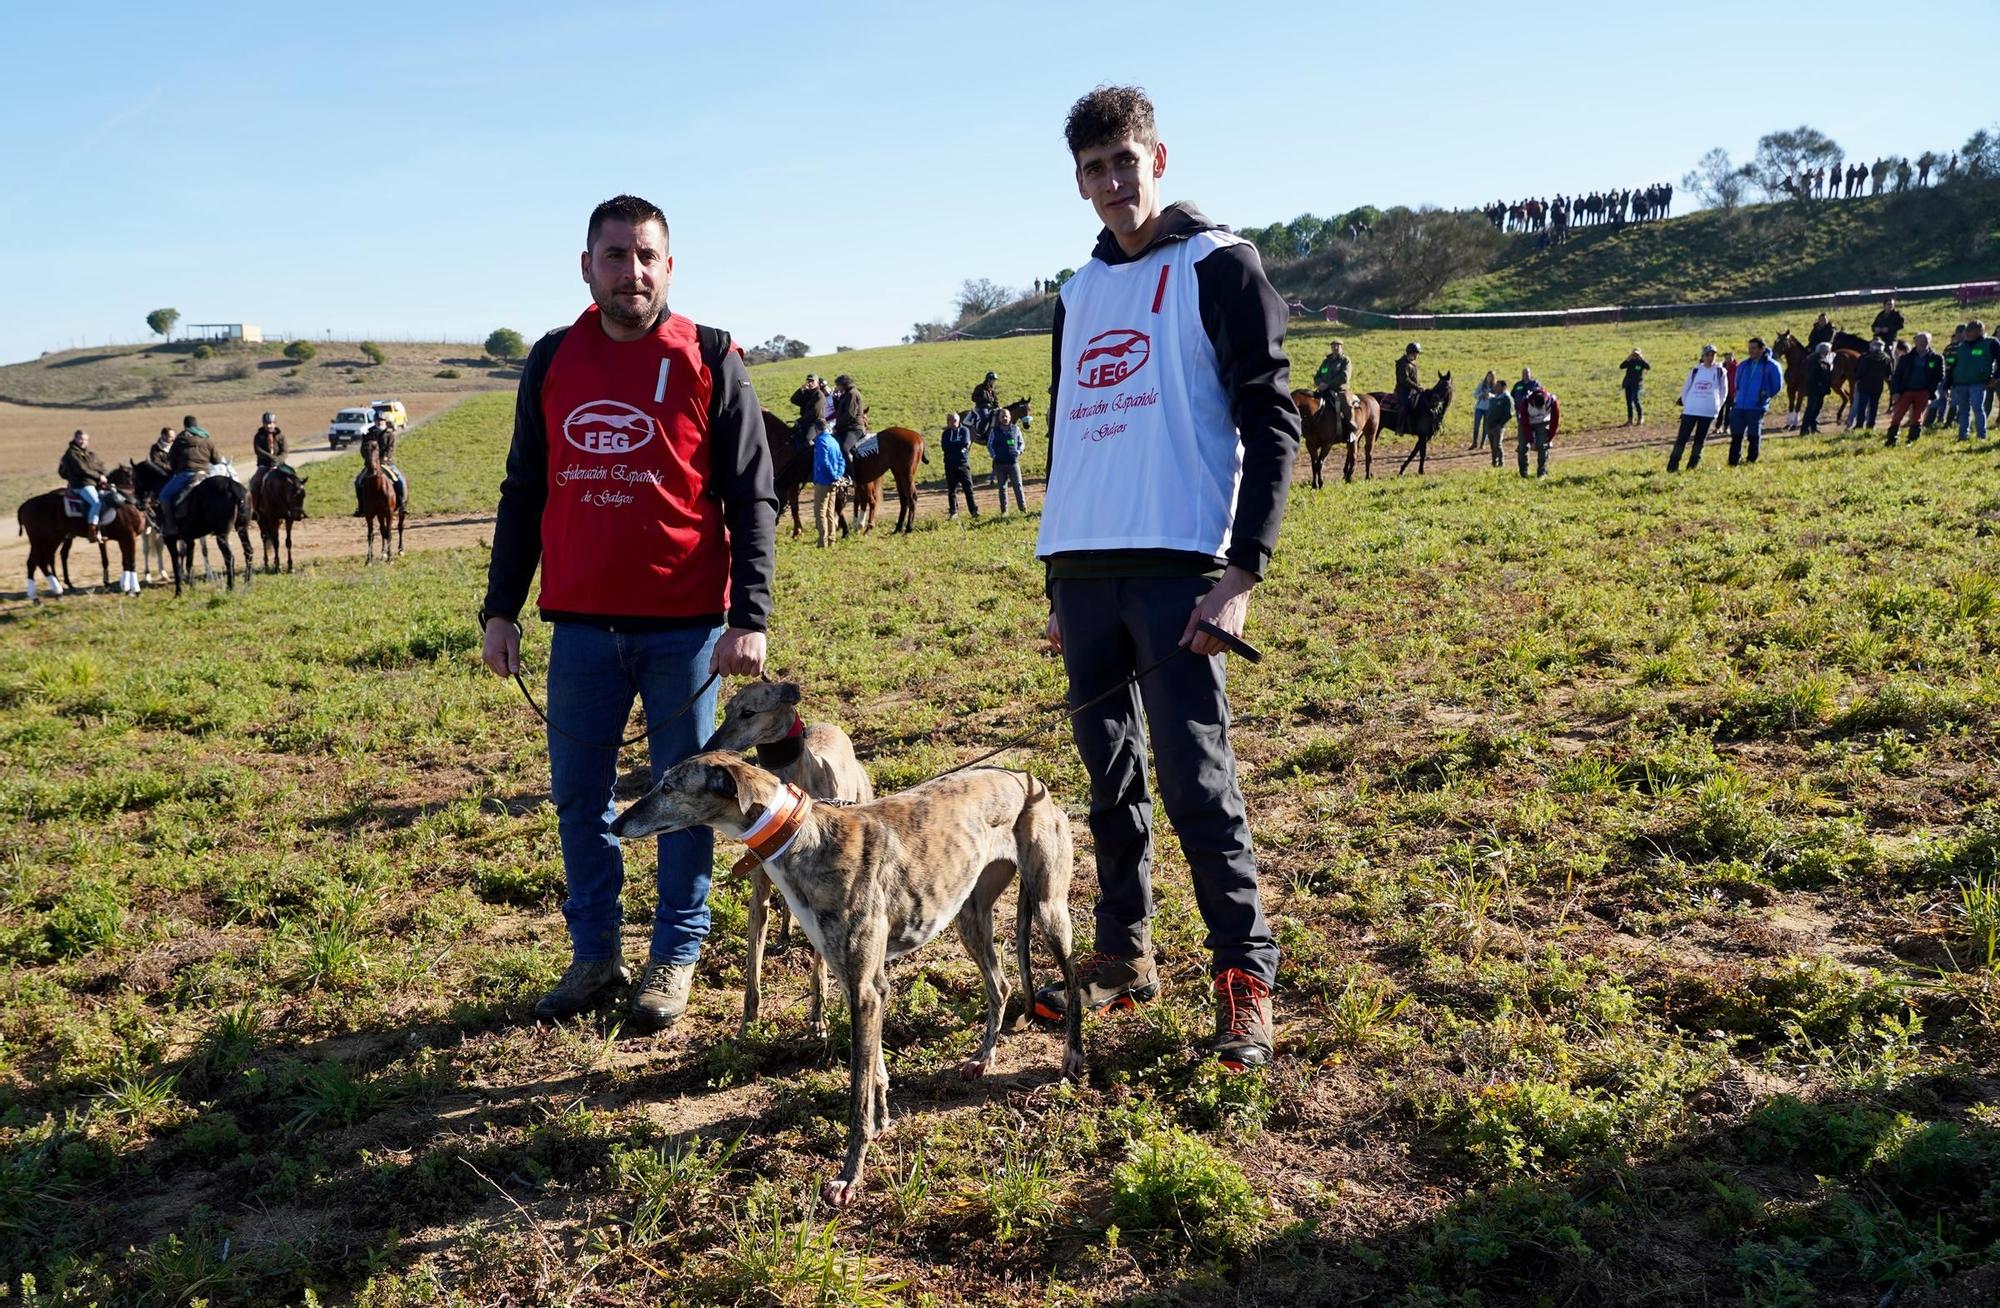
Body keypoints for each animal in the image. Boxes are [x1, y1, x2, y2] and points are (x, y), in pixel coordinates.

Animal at [608, 752, 1088, 1216]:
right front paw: (881, 1124)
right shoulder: (858, 982)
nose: (615, 825)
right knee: (1001, 986)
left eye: (669, 787)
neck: (804, 838)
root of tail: (1026, 777)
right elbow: (875, 1071)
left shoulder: (865, 990)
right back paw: (983, 1059)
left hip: (1049, 908)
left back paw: (1072, 1059)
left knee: (1072, 976)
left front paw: (849, 1176)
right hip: (971, 916)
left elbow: (856, 1091)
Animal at [712, 680, 884, 1040]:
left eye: (748, 712)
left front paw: (818, 1018)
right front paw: (747, 1024)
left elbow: (819, 965)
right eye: (727, 710)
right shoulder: (759, 890)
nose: (711, 745)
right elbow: (753, 963)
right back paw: (784, 934)